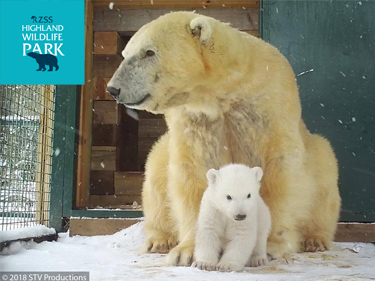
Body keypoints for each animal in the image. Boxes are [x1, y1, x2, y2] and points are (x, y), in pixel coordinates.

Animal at [106, 11, 340, 264]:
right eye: (125, 53)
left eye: (149, 52)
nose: (113, 89)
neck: (225, 91)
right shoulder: (196, 120)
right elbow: (193, 172)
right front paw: (186, 251)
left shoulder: (270, 106)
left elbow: (279, 171)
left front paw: (269, 244)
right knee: (156, 170)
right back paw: (159, 240)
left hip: (318, 155)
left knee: (325, 176)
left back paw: (315, 239)